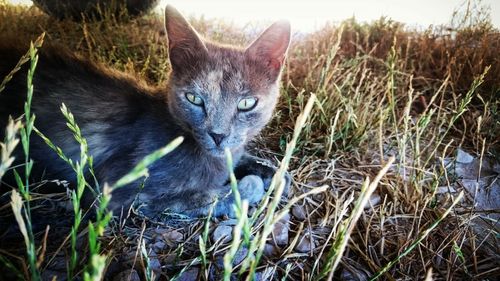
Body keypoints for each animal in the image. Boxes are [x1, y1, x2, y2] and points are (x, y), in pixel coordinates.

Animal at [0, 5, 292, 218]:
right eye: (194, 98)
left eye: (246, 104)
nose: (218, 135)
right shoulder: (116, 194)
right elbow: (203, 196)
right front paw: (247, 187)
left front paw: (274, 172)